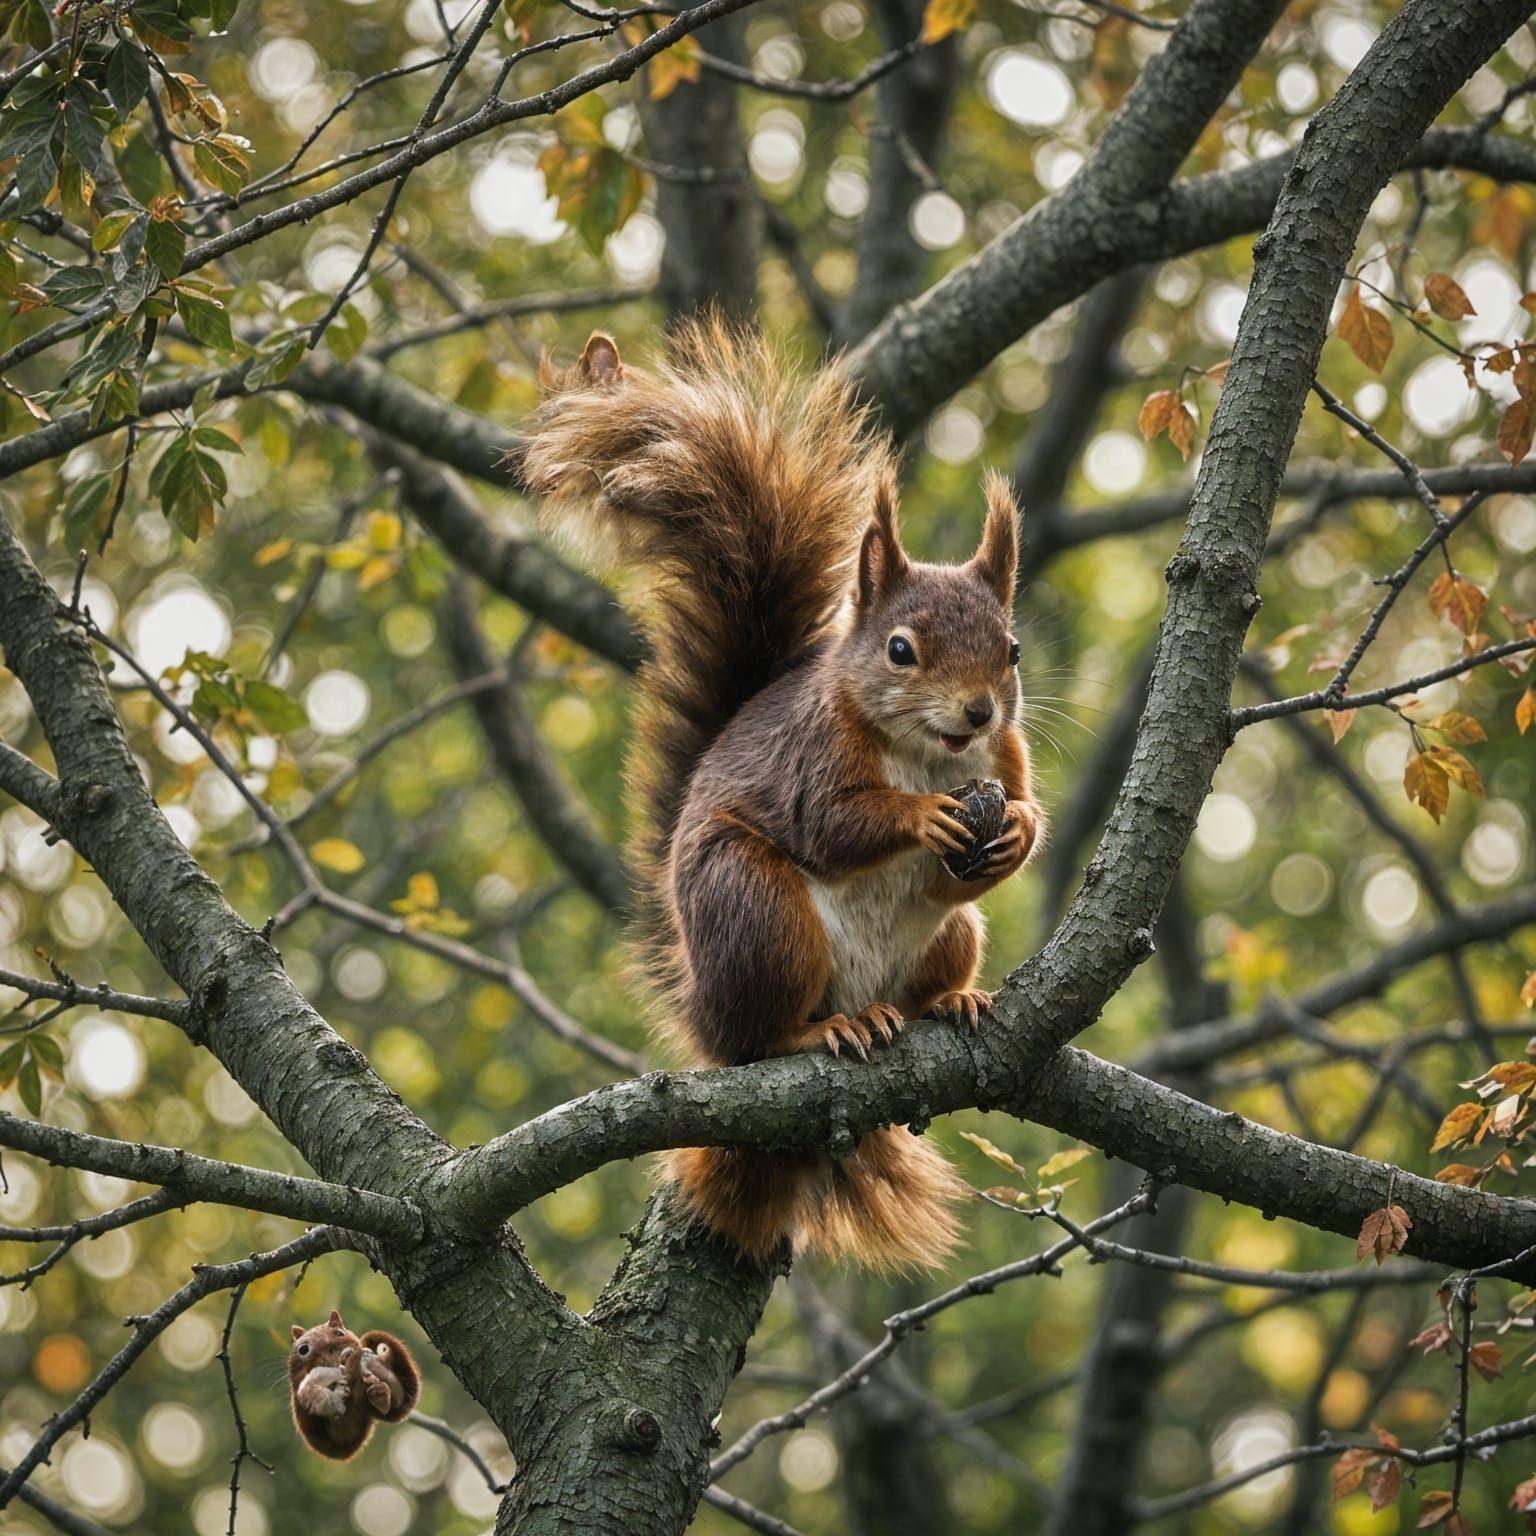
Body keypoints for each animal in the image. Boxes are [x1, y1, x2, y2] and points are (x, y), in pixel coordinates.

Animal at [288, 1309, 420, 1460]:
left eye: (340, 1333)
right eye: (303, 1349)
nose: (328, 1355)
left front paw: (349, 1356)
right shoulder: (299, 1379)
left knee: (396, 1395)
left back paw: (380, 1390)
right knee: (339, 1426)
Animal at [516, 317, 1044, 1270]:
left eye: (1012, 651)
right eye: (901, 650)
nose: (978, 709)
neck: (932, 754)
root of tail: (702, 1013)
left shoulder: (1008, 755)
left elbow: (1012, 827)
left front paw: (1016, 830)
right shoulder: (813, 760)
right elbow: (834, 825)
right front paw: (921, 818)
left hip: (953, 935)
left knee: (940, 954)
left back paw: (948, 1002)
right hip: (759, 915)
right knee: (759, 1037)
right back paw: (821, 1031)